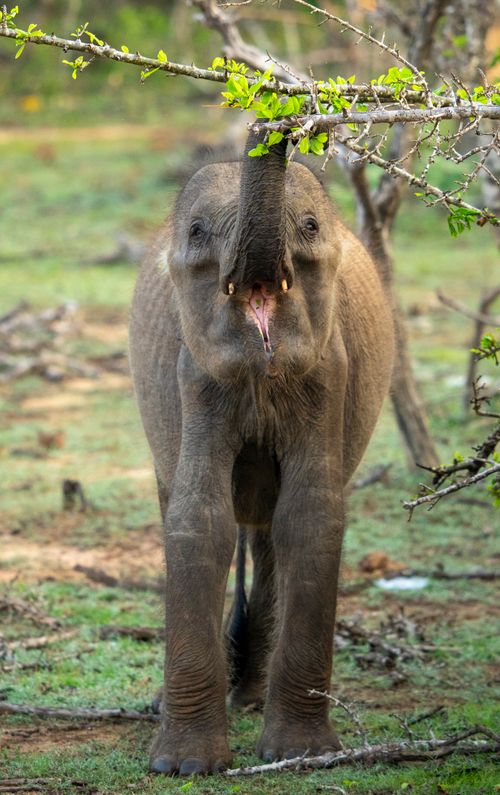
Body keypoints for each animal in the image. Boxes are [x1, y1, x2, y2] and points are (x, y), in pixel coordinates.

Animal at [129, 127, 394, 776]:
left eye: (310, 227)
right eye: (198, 232)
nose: (284, 121)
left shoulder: (330, 370)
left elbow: (311, 517)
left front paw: (301, 755)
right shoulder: (192, 373)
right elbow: (199, 520)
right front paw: (186, 768)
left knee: (271, 530)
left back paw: (250, 699)